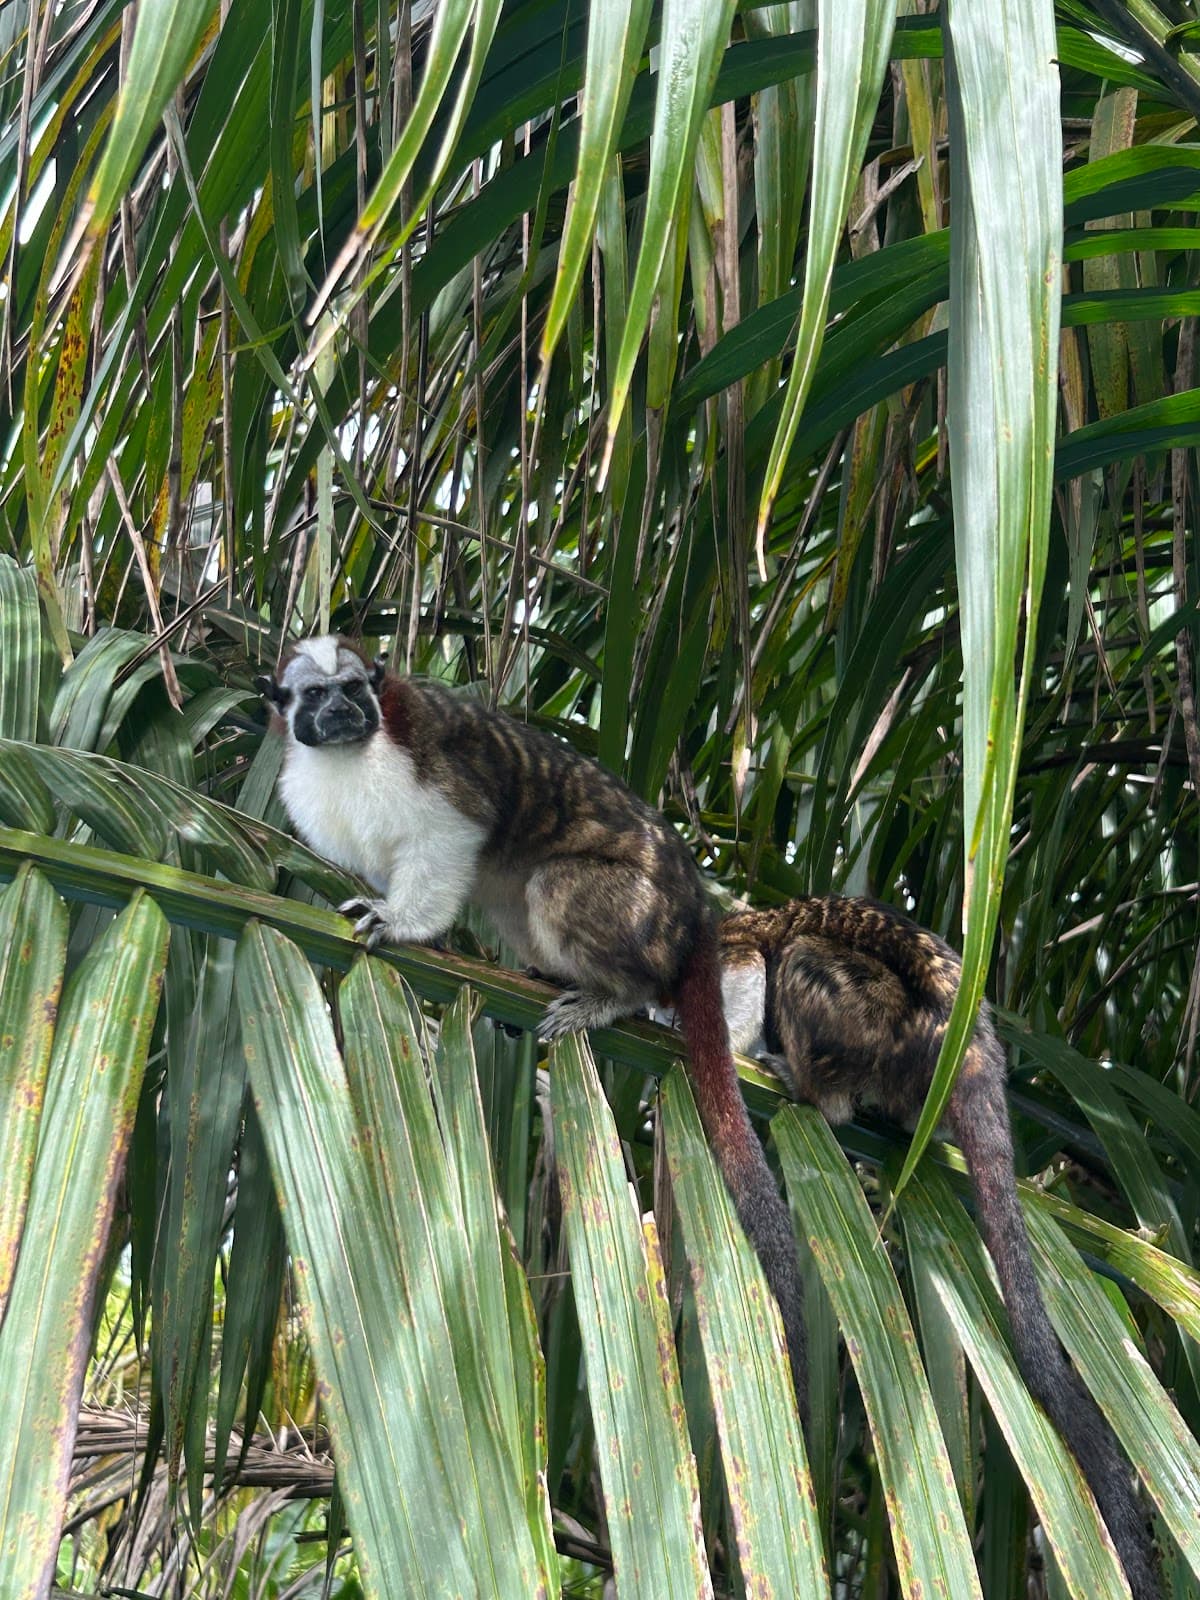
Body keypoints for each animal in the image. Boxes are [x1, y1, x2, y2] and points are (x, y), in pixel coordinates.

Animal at [256, 635, 807, 1411]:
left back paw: (615, 993)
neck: (347, 759)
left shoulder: (427, 771)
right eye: (314, 697)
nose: (339, 712)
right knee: (512, 892)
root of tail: (695, 912)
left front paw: (404, 925)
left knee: (552, 883)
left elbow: (451, 837)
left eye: (353, 691)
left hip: (644, 918)